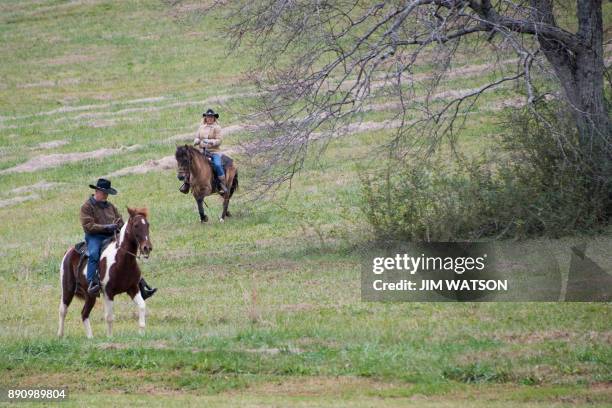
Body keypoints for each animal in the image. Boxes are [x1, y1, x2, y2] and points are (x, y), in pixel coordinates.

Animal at [58, 207, 153, 338]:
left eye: (147, 224)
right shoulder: (108, 292)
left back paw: (90, 338)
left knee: (84, 314)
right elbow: (109, 317)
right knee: (63, 310)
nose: (147, 248)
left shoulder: (133, 288)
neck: (123, 260)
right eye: (136, 225)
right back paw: (60, 336)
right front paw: (110, 337)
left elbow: (142, 306)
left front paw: (142, 334)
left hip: (90, 295)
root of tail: (69, 251)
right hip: (67, 289)